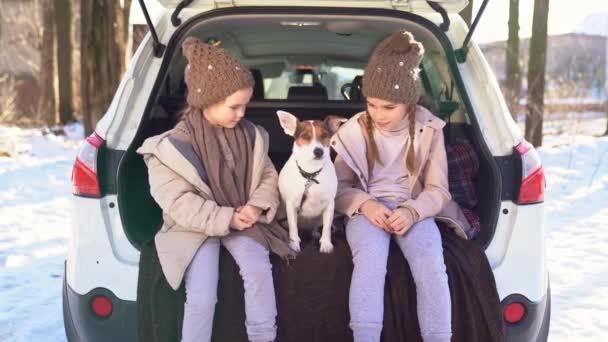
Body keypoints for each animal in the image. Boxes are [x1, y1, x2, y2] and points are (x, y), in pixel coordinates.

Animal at [276, 110, 346, 254]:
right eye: (305, 136)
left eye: (325, 136)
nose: (318, 151)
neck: (311, 174)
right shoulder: (291, 205)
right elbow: (293, 227)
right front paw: (294, 243)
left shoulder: (330, 204)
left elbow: (327, 227)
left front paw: (326, 243)